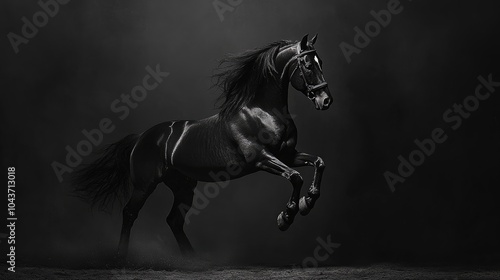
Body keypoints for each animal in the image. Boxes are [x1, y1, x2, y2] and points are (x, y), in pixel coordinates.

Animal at [74, 34, 332, 260]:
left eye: (321, 62)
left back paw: (193, 260)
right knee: (130, 213)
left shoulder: (287, 155)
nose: (326, 100)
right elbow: (295, 177)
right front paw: (286, 216)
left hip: (183, 186)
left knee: (174, 220)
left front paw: (308, 202)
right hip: (145, 184)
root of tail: (141, 137)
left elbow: (318, 163)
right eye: (308, 65)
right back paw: (121, 256)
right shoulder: (261, 158)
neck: (262, 111)